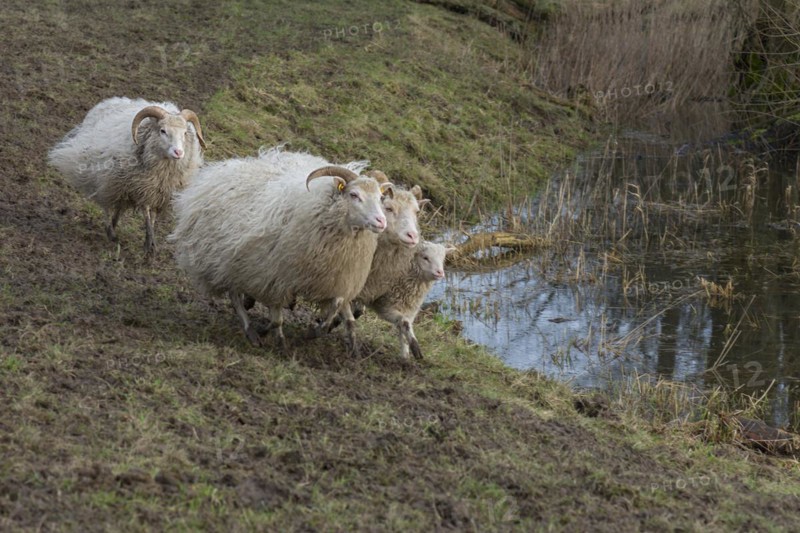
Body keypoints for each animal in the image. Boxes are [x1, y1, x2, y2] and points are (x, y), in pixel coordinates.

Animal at [48, 96, 206, 258]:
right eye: (163, 131)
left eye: (185, 133)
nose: (178, 152)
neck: (163, 171)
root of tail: (108, 102)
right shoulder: (143, 188)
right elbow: (146, 214)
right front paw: (149, 244)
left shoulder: (159, 194)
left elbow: (153, 217)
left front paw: (150, 244)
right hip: (106, 178)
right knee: (106, 204)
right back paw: (110, 232)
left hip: (121, 184)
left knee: (119, 205)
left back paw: (114, 224)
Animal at [169, 146, 392, 353]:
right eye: (354, 195)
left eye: (380, 198)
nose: (381, 221)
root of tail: (218, 171)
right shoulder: (276, 278)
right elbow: (277, 318)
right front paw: (280, 341)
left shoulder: (338, 279)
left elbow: (337, 308)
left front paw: (318, 331)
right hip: (227, 260)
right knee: (233, 295)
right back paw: (250, 330)